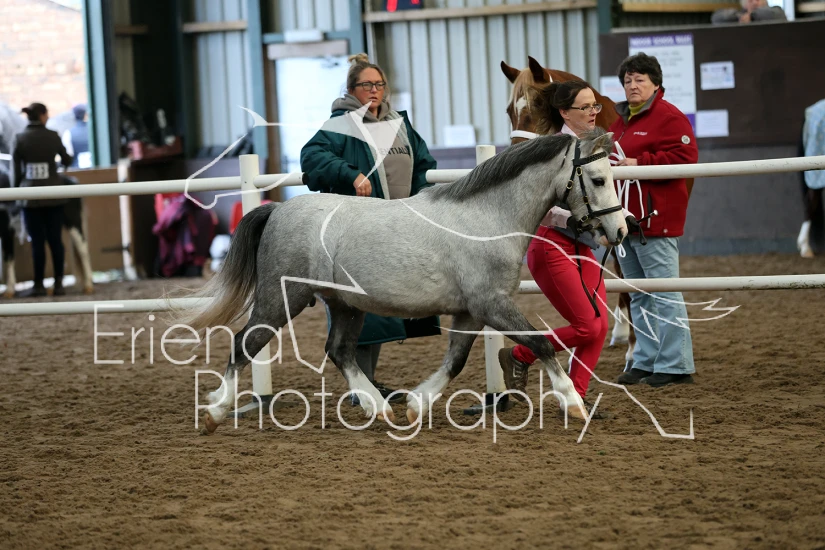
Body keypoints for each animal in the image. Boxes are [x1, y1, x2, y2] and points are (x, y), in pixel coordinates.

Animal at [173, 130, 628, 434]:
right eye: (599, 179)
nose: (620, 230)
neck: (487, 219)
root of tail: (276, 210)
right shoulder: (492, 304)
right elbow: (541, 342)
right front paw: (573, 403)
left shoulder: (469, 311)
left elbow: (455, 362)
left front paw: (414, 405)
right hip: (283, 296)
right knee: (244, 344)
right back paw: (215, 412)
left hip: (344, 305)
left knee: (339, 351)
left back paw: (379, 408)